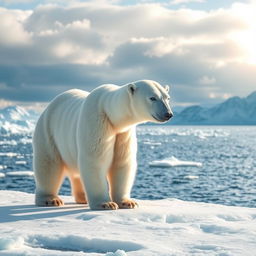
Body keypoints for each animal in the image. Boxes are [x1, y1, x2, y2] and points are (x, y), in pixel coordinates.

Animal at [32, 79, 172, 210]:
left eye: (167, 98)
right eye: (152, 98)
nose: (168, 114)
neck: (110, 113)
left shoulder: (123, 133)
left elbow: (122, 162)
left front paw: (128, 202)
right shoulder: (98, 124)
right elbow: (95, 160)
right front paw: (106, 204)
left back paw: (83, 197)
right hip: (48, 131)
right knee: (49, 164)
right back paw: (50, 199)